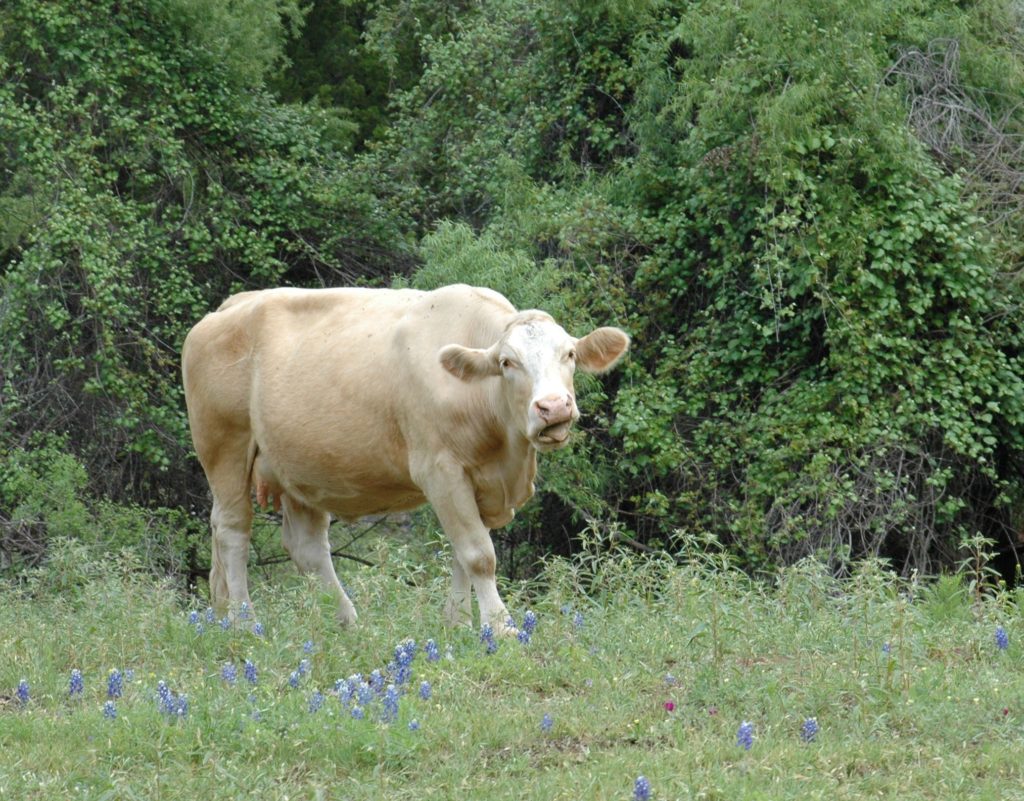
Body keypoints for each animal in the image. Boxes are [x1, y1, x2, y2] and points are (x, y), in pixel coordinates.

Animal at [184, 284, 630, 635]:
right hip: (225, 447)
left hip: (301, 467)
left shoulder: (480, 481)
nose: (553, 407)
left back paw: (349, 624)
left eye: (569, 354)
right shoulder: (440, 471)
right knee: (232, 532)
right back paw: (244, 621)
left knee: (306, 547)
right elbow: (479, 555)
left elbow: (461, 555)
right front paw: (501, 628)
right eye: (507, 362)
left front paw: (458, 624)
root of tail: (228, 307)